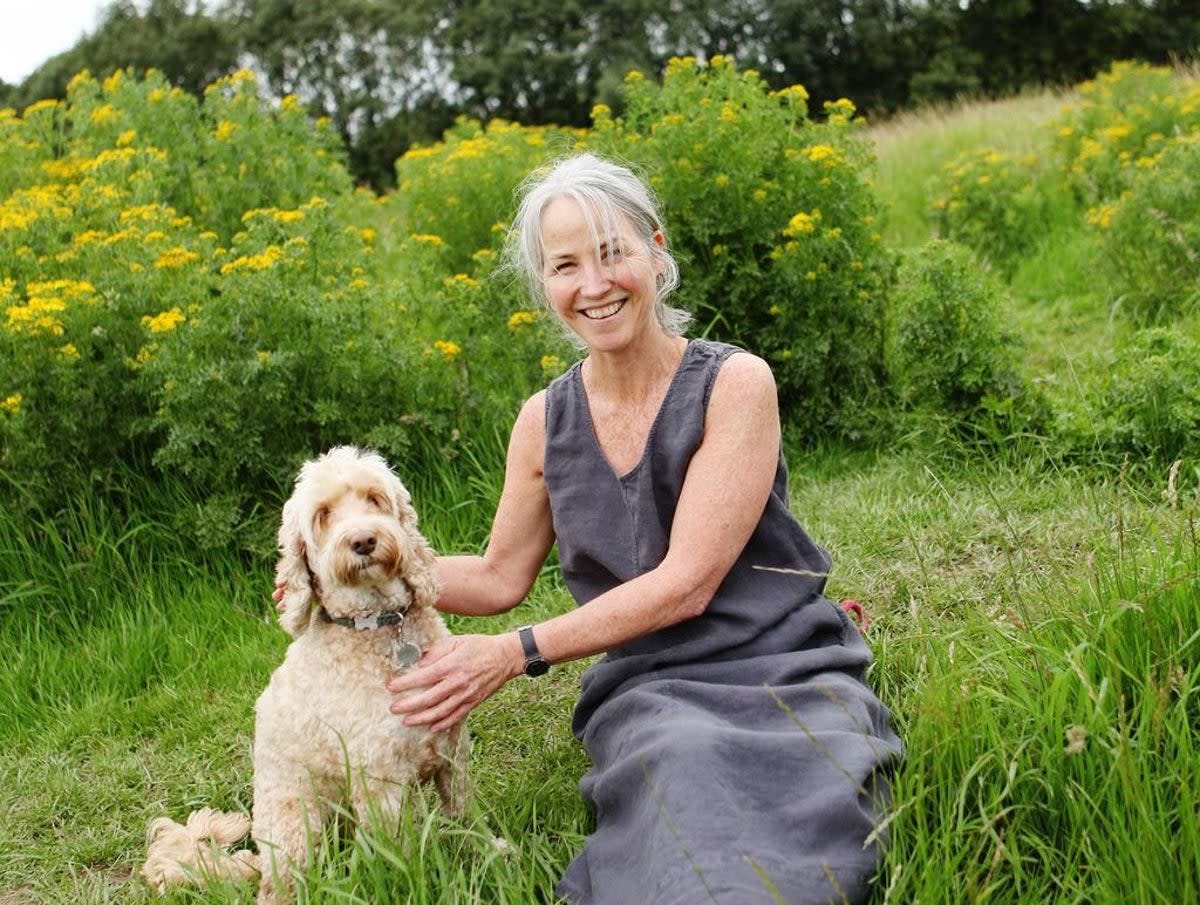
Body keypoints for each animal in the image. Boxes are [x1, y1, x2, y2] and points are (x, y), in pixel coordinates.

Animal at [142, 444, 470, 897]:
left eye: (374, 499)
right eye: (323, 514)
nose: (363, 540)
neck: (379, 627)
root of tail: (258, 861)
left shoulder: (452, 749)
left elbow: (467, 816)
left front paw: (490, 850)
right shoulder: (379, 781)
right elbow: (402, 853)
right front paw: (418, 883)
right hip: (296, 825)